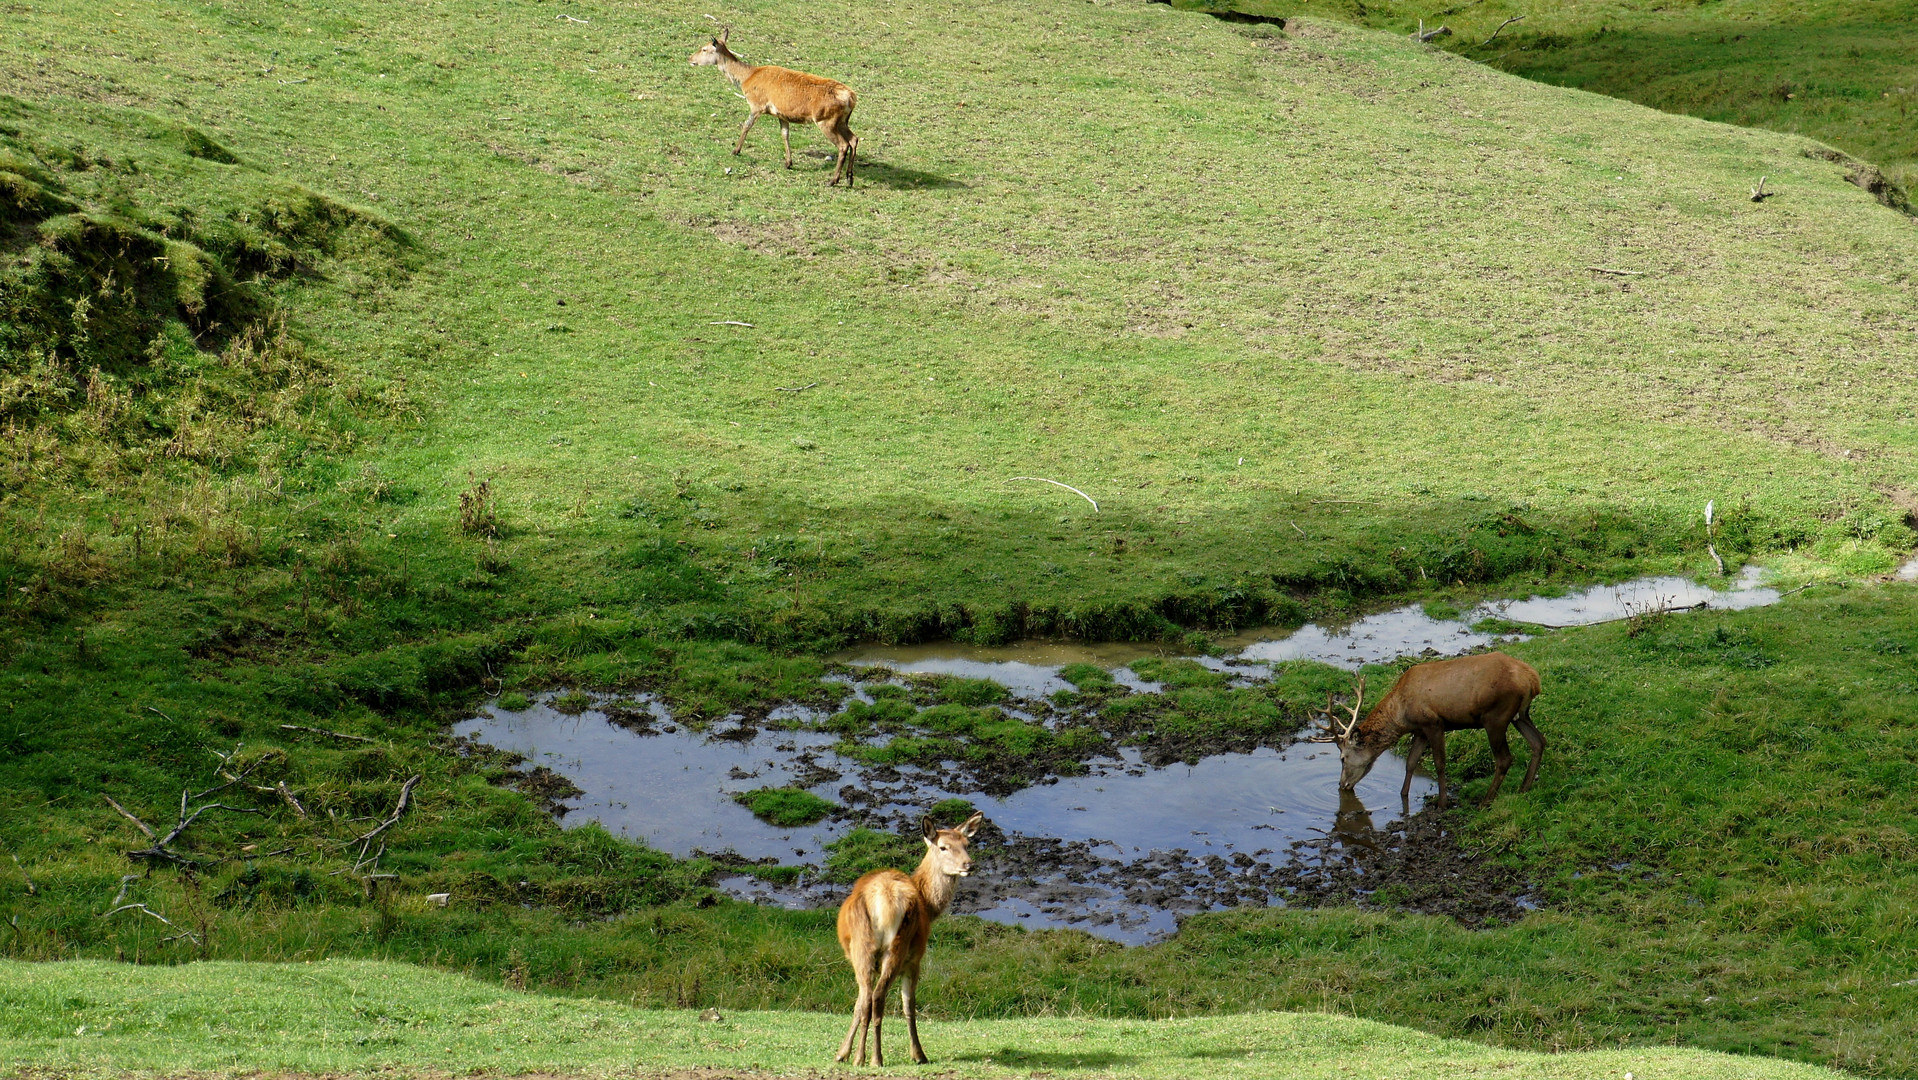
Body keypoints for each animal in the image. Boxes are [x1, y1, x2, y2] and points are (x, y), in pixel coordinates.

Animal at [686, 28, 859, 187]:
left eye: (704, 49)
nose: (689, 58)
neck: (746, 79)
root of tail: (851, 97)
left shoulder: (757, 104)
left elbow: (746, 126)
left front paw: (735, 150)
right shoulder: (782, 114)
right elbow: (785, 134)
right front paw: (788, 163)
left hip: (826, 120)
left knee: (843, 145)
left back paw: (833, 180)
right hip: (842, 121)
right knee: (854, 139)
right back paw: (849, 177)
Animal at [836, 813, 989, 1066]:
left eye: (967, 844)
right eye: (943, 847)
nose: (969, 865)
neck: (928, 905)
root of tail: (884, 899)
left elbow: (858, 1004)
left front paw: (842, 1053)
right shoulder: (915, 959)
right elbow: (909, 1005)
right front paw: (918, 1055)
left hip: (863, 947)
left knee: (867, 998)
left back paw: (860, 1058)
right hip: (898, 946)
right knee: (878, 997)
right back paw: (877, 1058)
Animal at [1311, 652, 1549, 813]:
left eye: (1342, 758)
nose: (1342, 785)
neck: (1402, 714)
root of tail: (1533, 679)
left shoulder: (1434, 723)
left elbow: (1440, 763)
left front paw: (1442, 802)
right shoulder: (1420, 731)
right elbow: (1410, 762)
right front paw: (1403, 794)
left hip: (1496, 717)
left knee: (1504, 759)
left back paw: (1486, 801)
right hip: (1521, 714)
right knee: (1539, 741)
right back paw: (1524, 788)